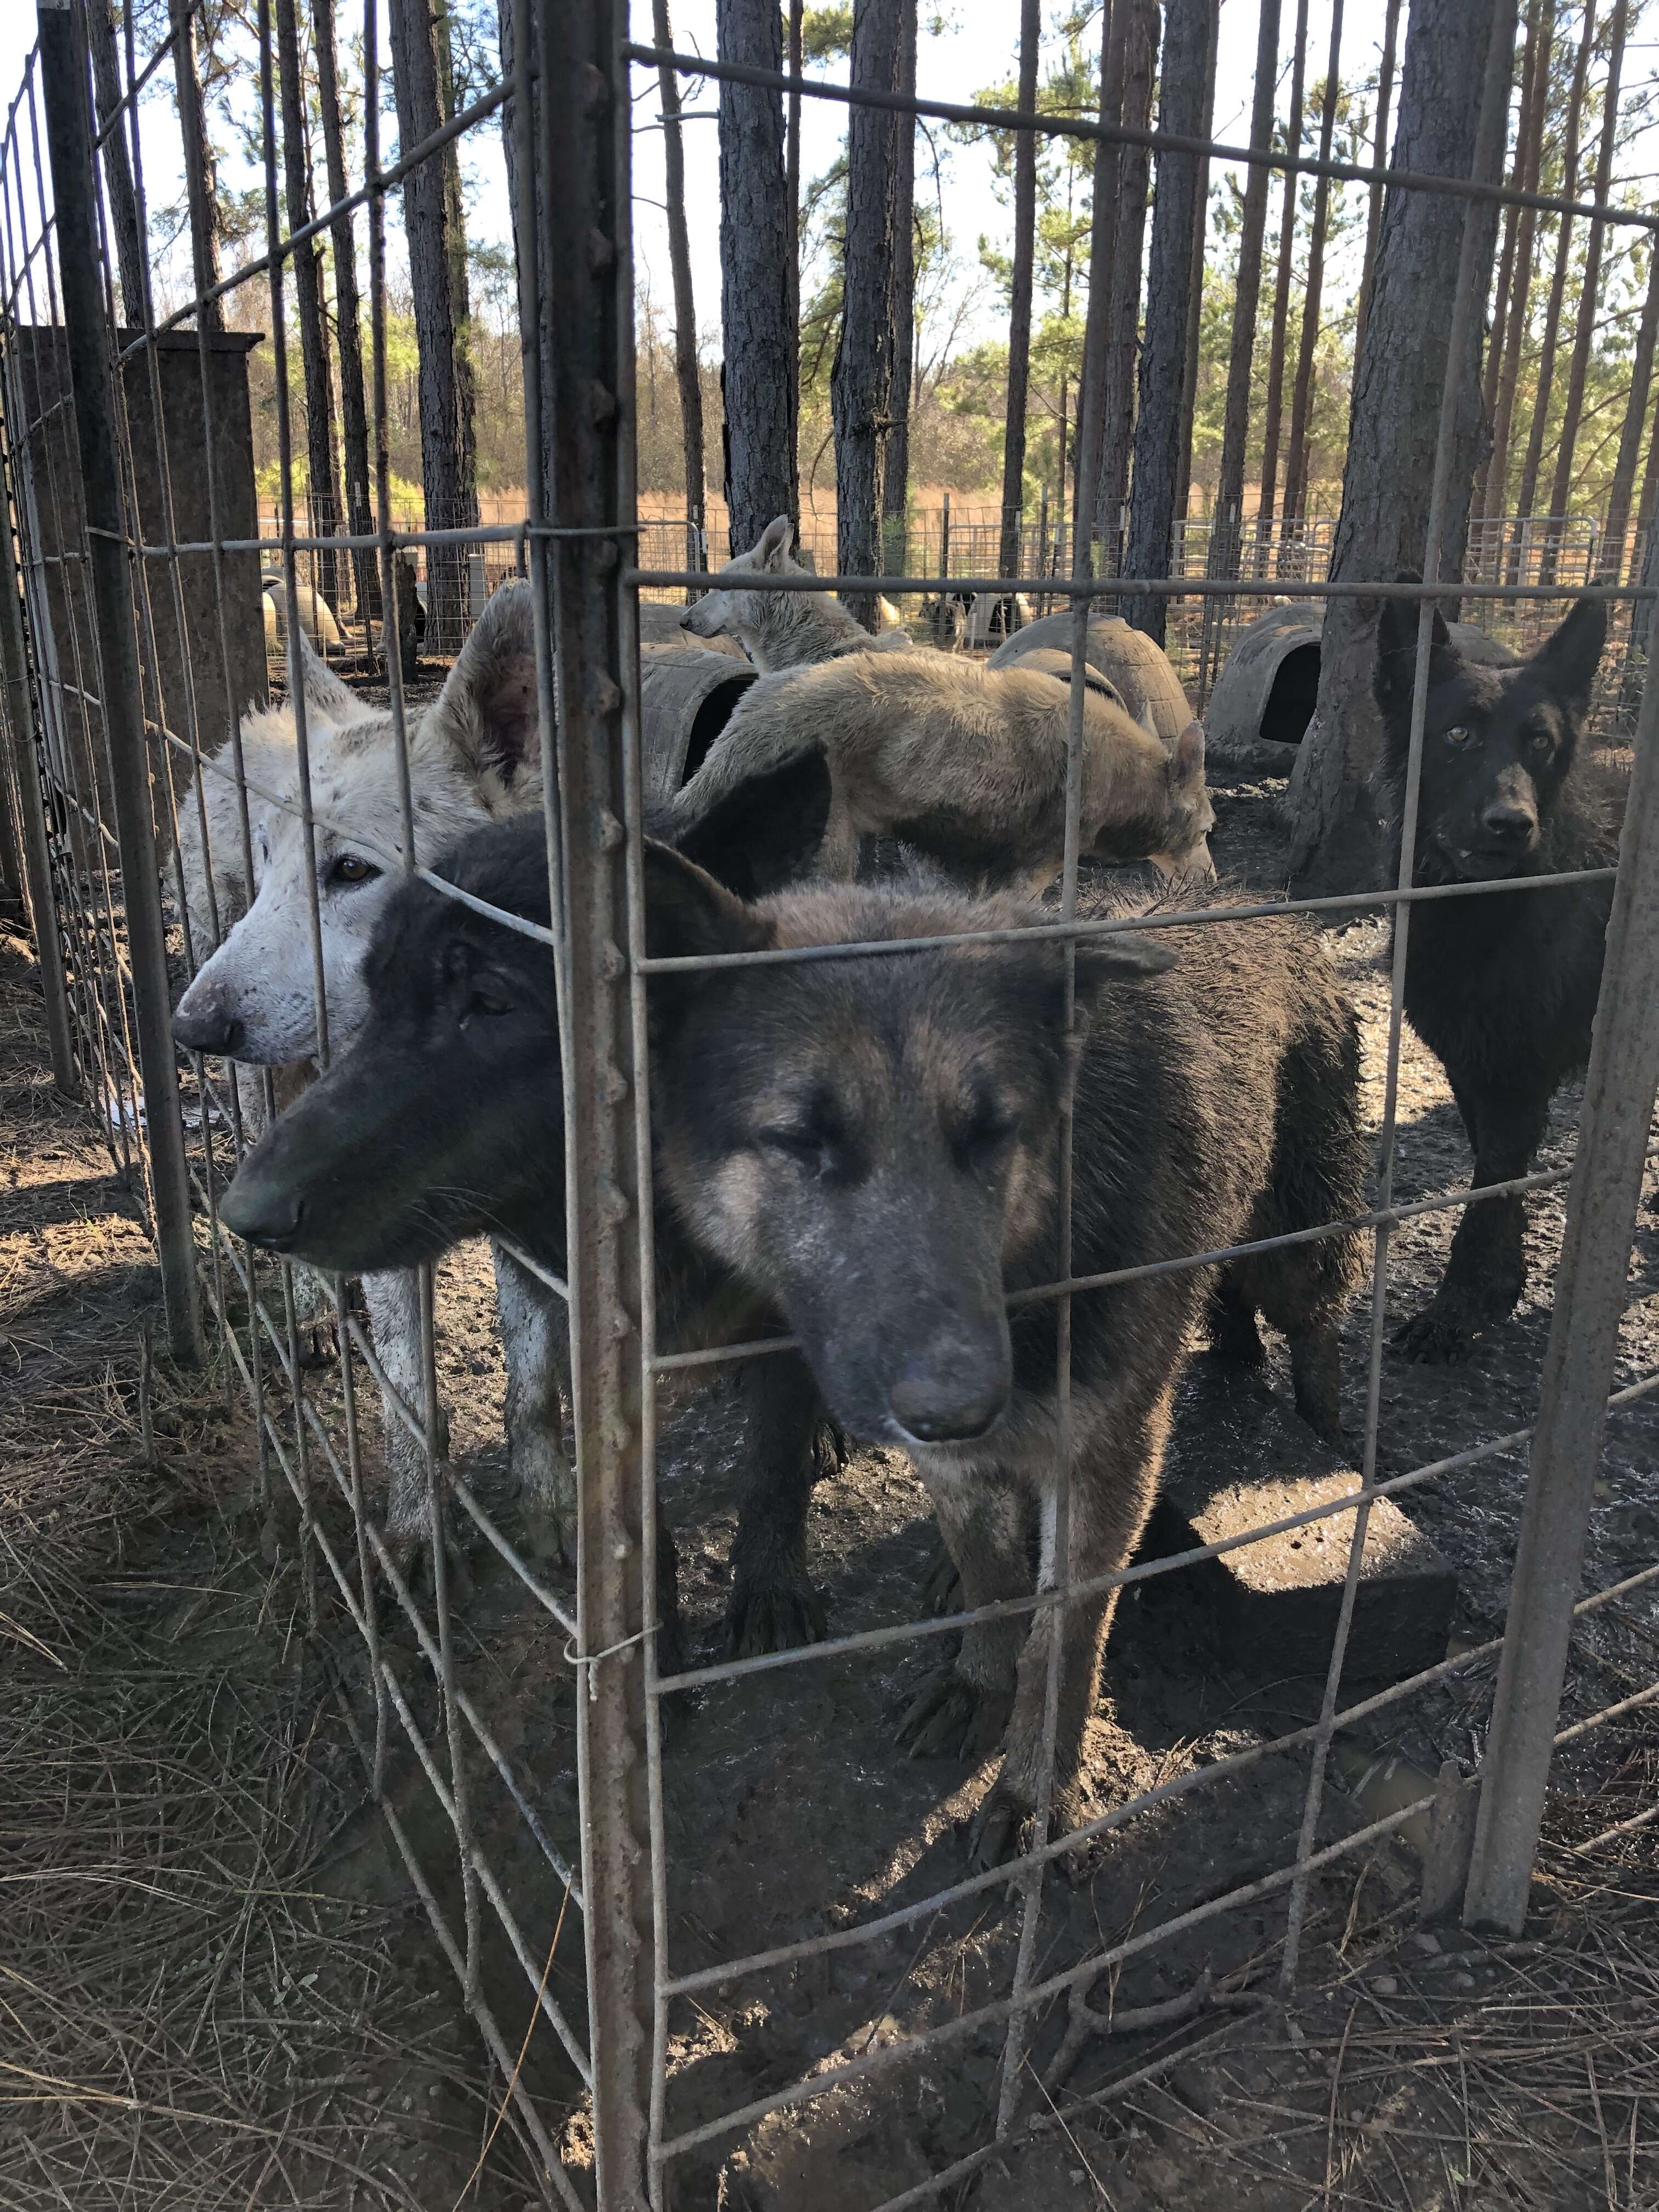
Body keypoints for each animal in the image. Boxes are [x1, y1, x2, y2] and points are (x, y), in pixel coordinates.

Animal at [1375, 587, 1615, 1362]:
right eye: (1457, 736)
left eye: (1538, 743)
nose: (1510, 823)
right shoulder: (1472, 1064)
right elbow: (1491, 1178)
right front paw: (1501, 1287)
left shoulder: (1519, 1075)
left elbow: (1491, 1186)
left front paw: (1455, 1311)